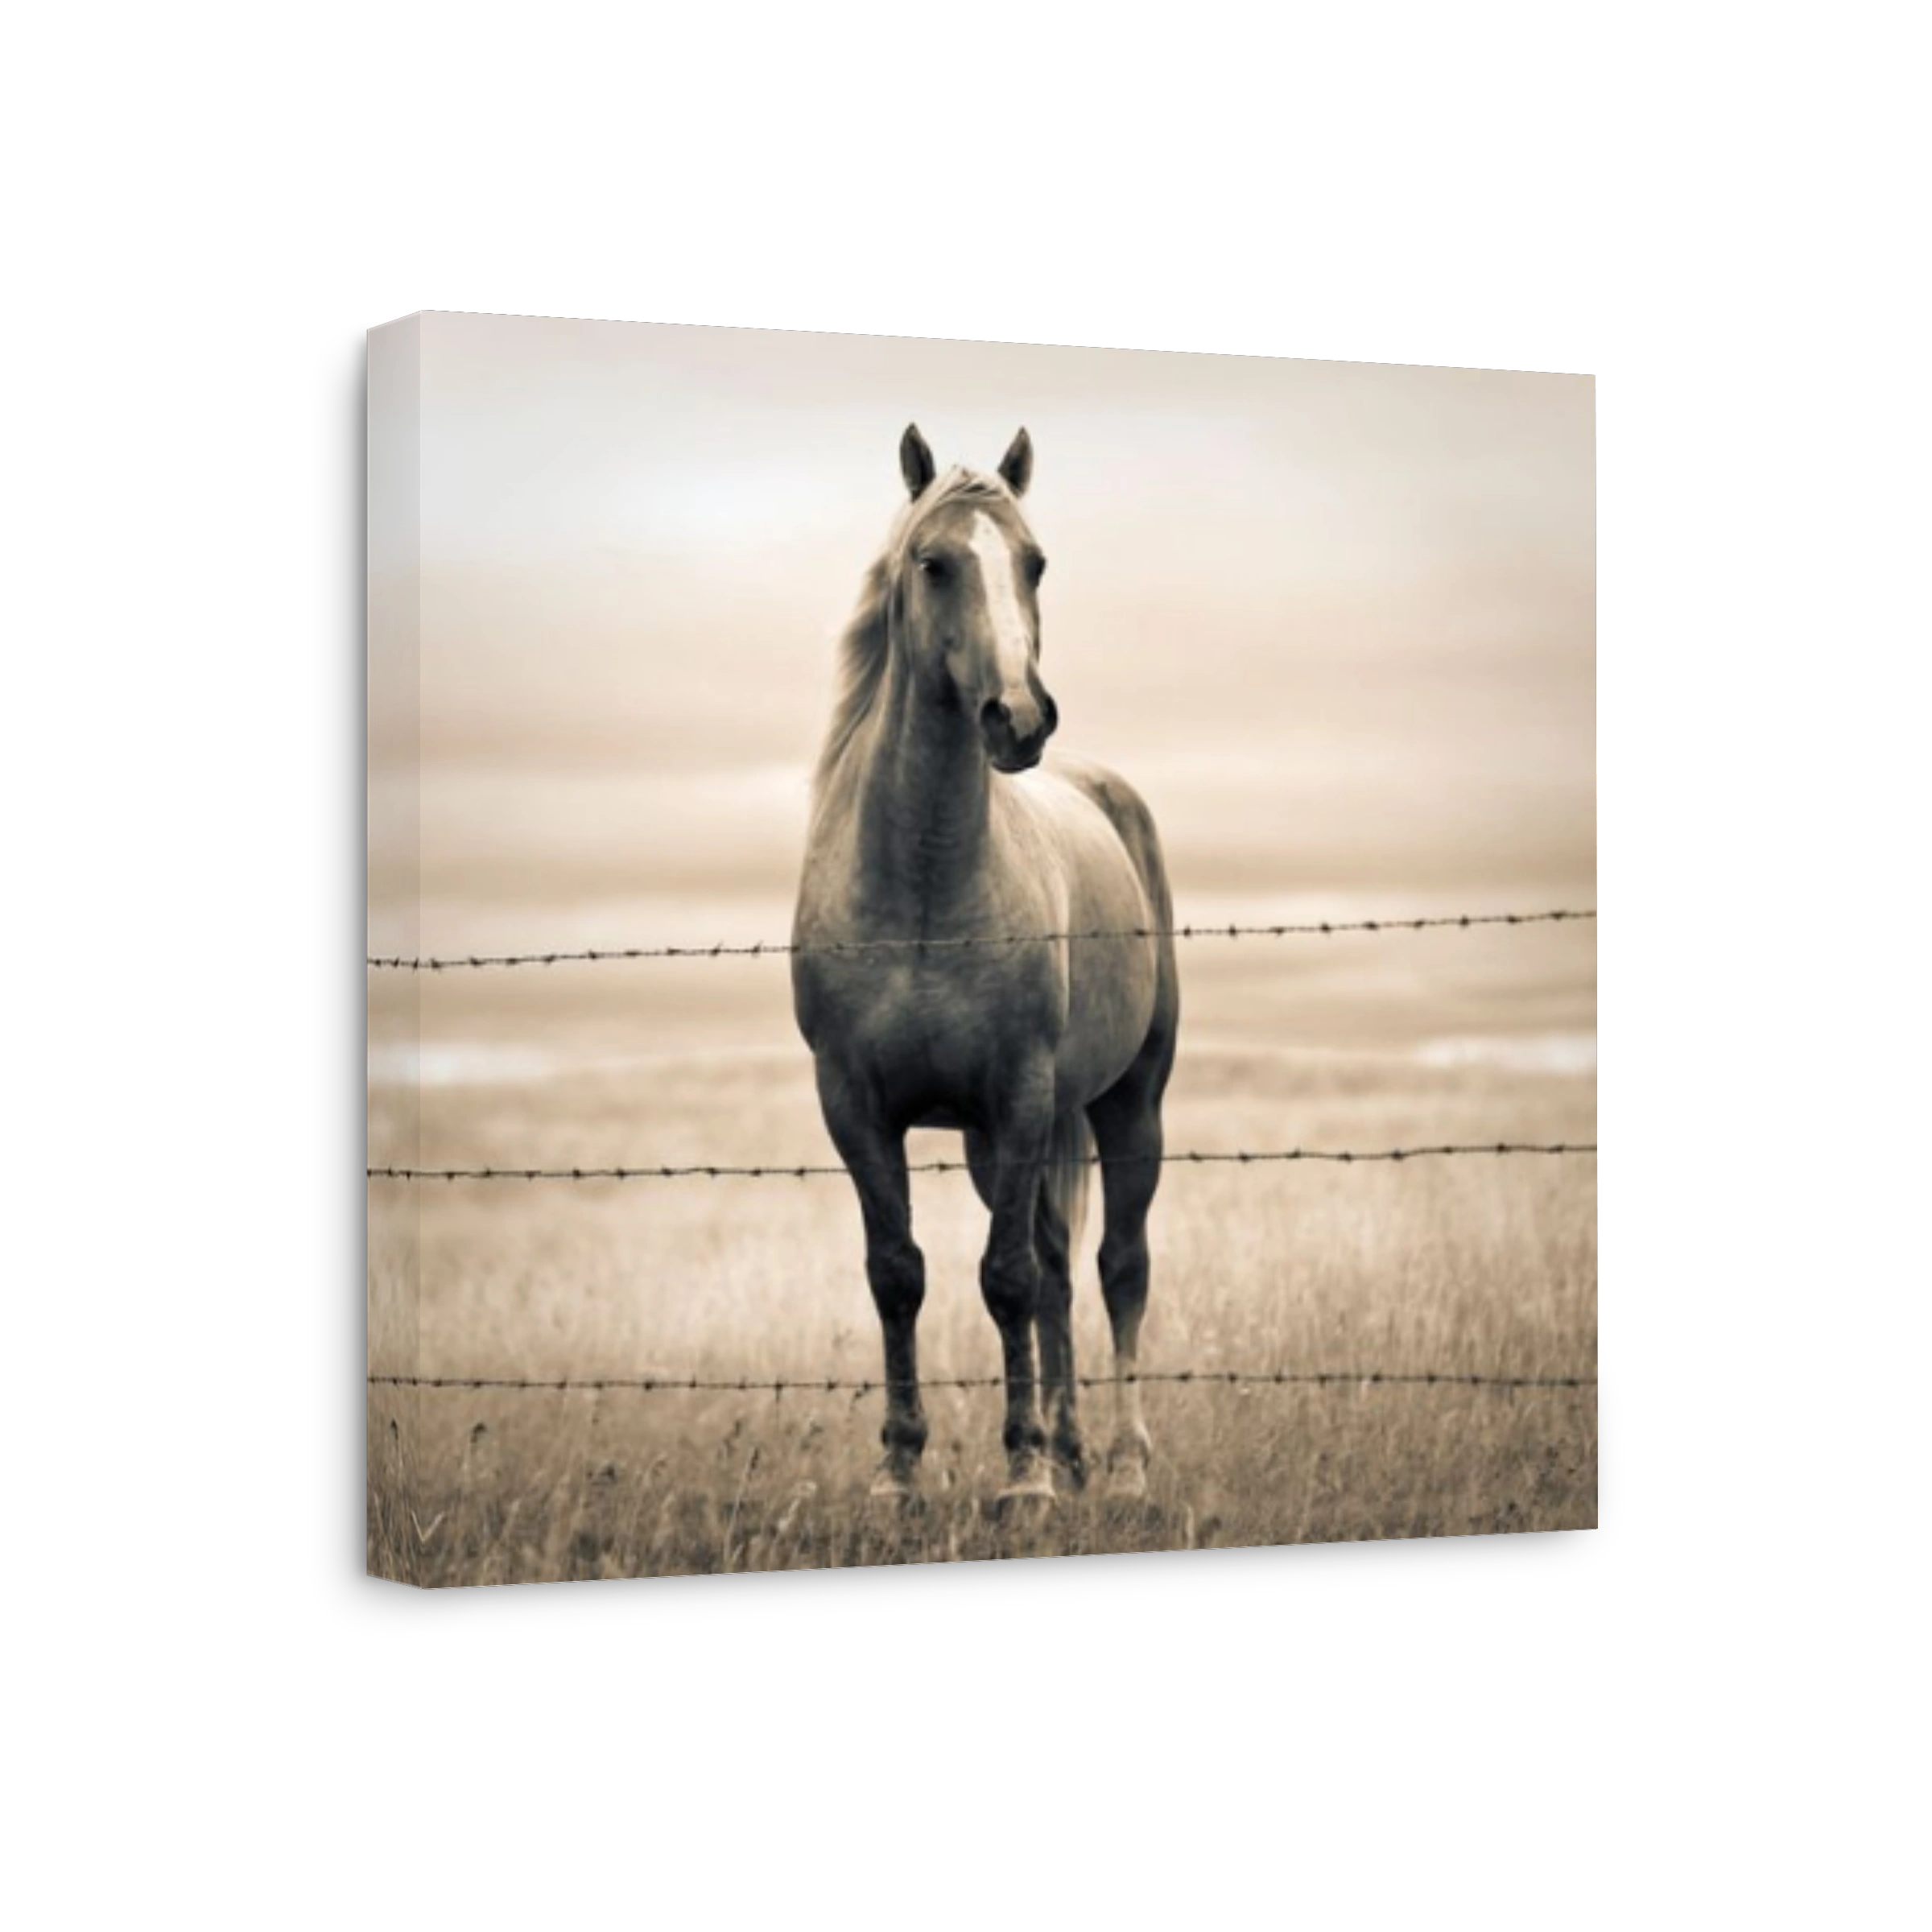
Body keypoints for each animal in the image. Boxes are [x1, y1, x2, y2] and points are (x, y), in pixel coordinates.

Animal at [792, 424, 1180, 1506]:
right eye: (934, 564)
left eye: (1035, 563)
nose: (1020, 719)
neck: (924, 889)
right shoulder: (857, 1107)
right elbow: (900, 1274)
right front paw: (900, 1472)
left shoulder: (1018, 1094)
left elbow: (1004, 1280)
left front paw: (1024, 1479)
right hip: (999, 1139)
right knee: (1057, 1270)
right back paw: (1076, 1449)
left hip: (1126, 1105)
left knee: (1117, 1268)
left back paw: (1123, 1465)